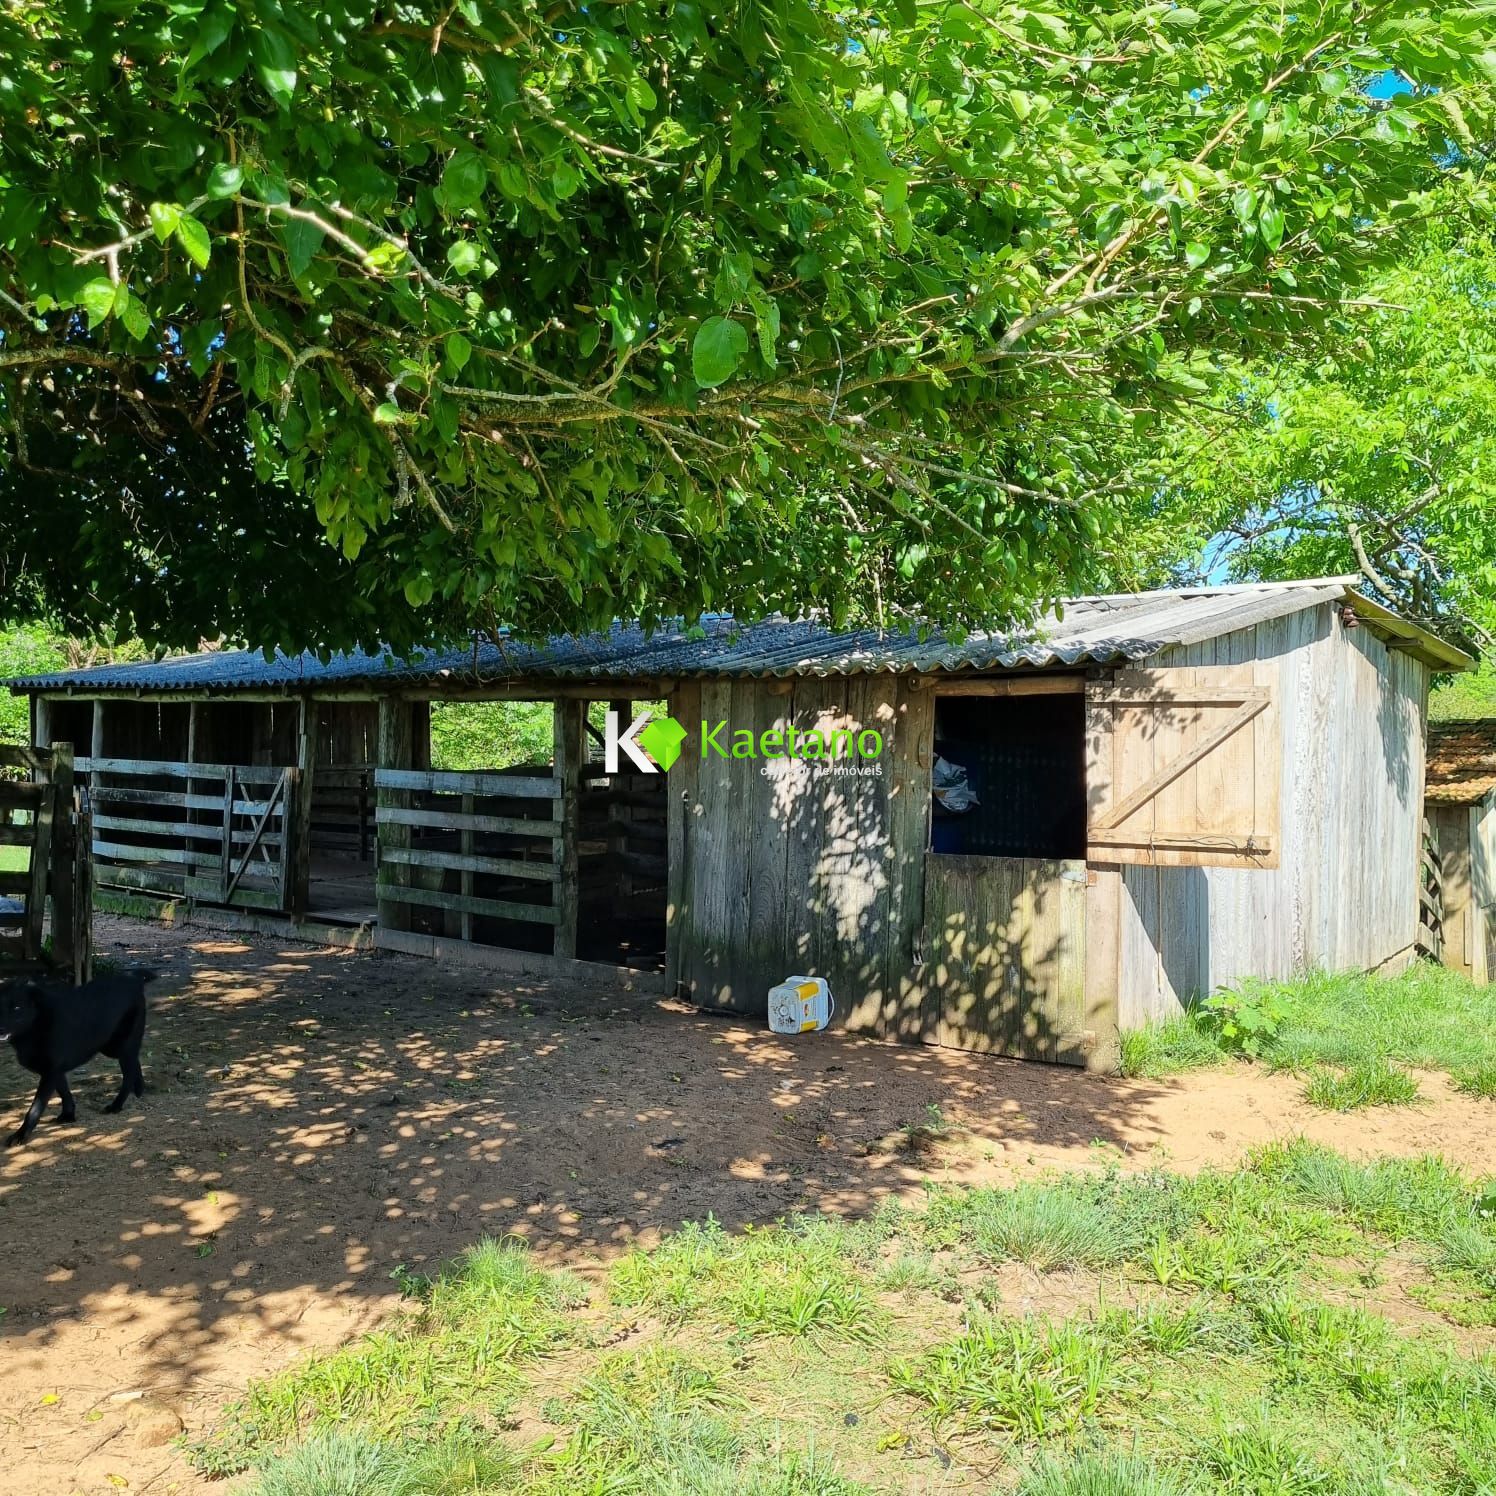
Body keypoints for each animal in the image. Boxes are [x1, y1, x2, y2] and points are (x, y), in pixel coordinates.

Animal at [0, 969, 156, 1142]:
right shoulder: (55, 1070)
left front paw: (20, 1134)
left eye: (17, 1007)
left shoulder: (51, 1071)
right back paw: (139, 1089)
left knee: (128, 1075)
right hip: (112, 1047)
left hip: (120, 1047)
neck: (36, 1025)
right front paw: (68, 1115)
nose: (0, 1028)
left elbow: (35, 1108)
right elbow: (64, 1092)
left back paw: (117, 1105)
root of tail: (134, 978)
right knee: (135, 1060)